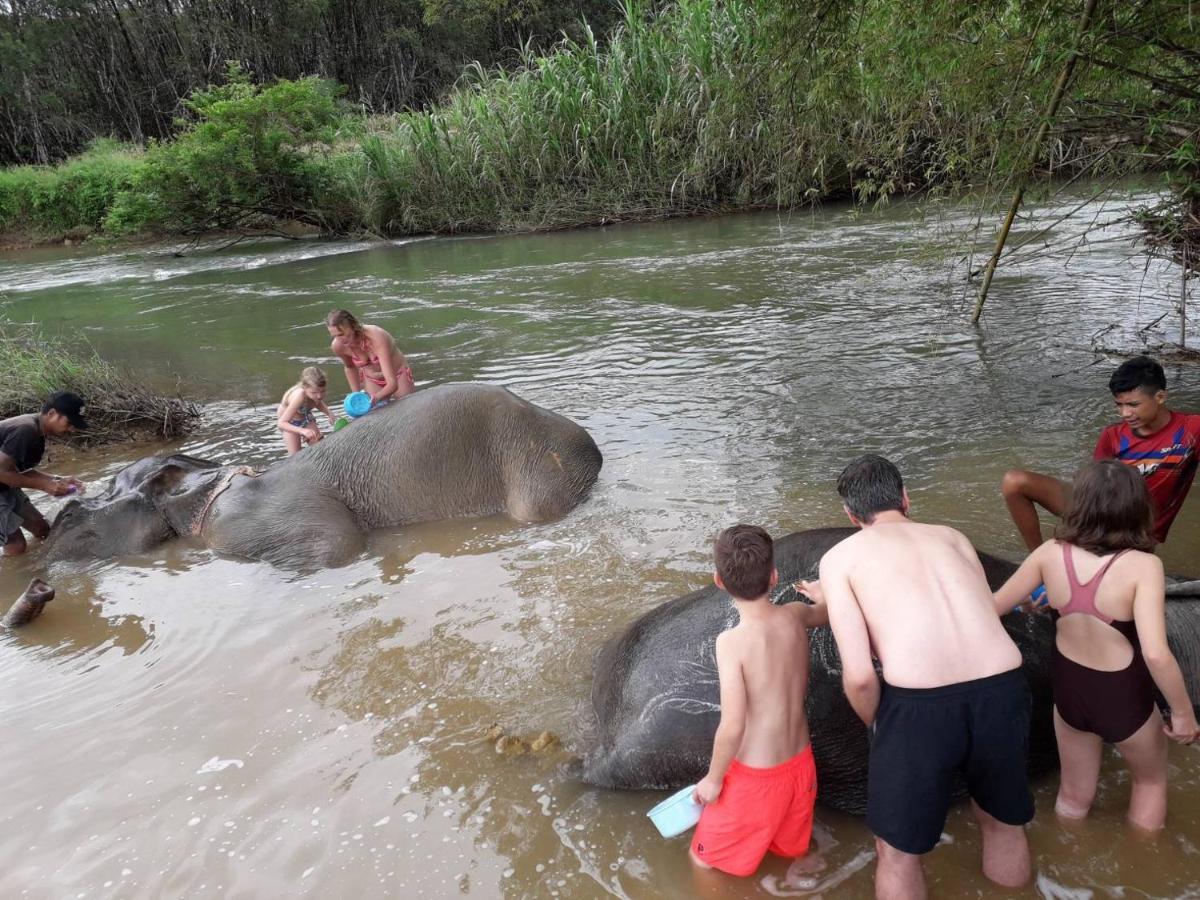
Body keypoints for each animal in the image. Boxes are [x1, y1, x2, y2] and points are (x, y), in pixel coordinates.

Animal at [43, 381, 604, 571]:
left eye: (72, 518)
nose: (62, 510)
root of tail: (590, 452)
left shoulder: (240, 524)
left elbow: (339, 545)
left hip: (538, 474)